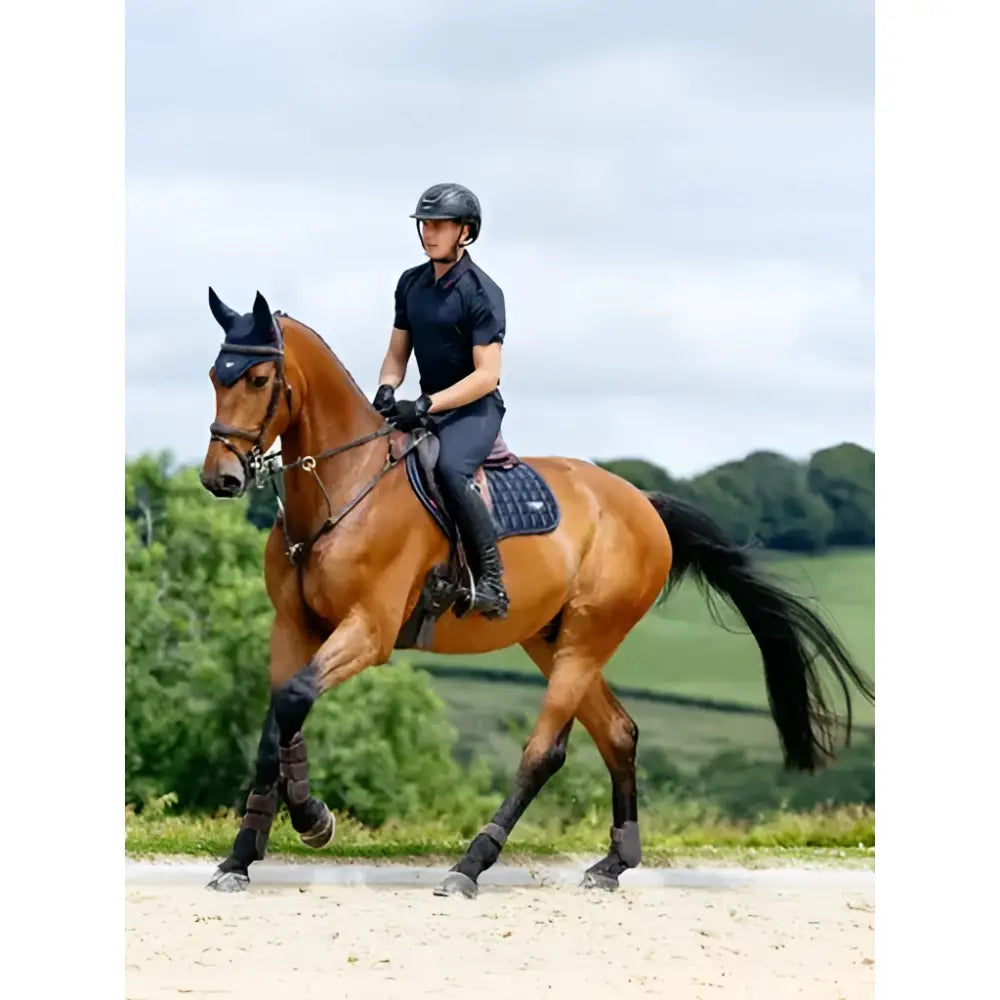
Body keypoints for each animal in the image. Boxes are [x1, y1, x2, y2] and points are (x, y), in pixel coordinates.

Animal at [198, 288, 874, 896]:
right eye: (213, 374)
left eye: (258, 378)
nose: (220, 478)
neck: (343, 488)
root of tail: (642, 505)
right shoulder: (293, 627)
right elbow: (279, 721)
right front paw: (244, 854)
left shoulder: (369, 630)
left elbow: (293, 702)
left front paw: (312, 821)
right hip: (550, 639)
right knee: (619, 733)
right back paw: (612, 864)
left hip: (587, 637)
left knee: (545, 750)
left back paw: (470, 865)